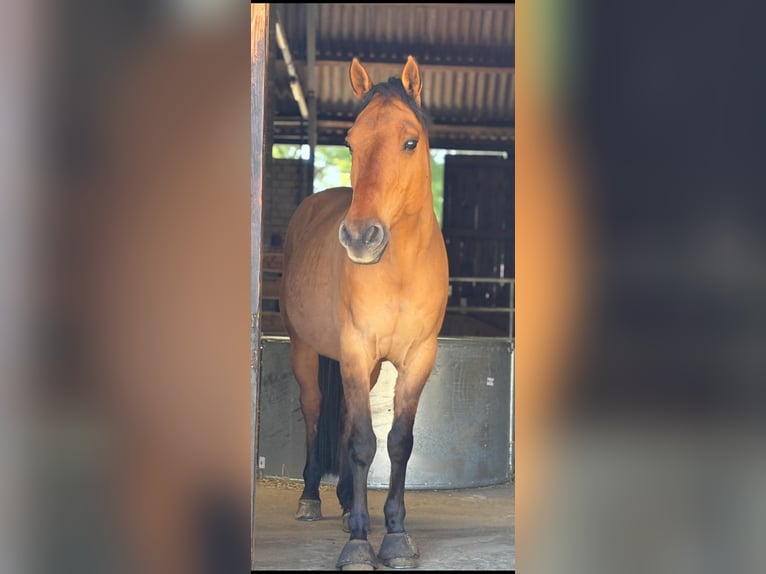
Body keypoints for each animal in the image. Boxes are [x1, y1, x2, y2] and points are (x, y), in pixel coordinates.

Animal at [280, 55, 449, 570]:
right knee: (316, 409)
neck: (400, 268)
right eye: (351, 142)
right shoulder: (355, 350)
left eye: (410, 141)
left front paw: (394, 535)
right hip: (305, 349)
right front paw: (358, 542)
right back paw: (312, 498)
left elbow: (397, 442)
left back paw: (343, 505)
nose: (360, 238)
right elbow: (361, 441)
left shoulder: (417, 357)